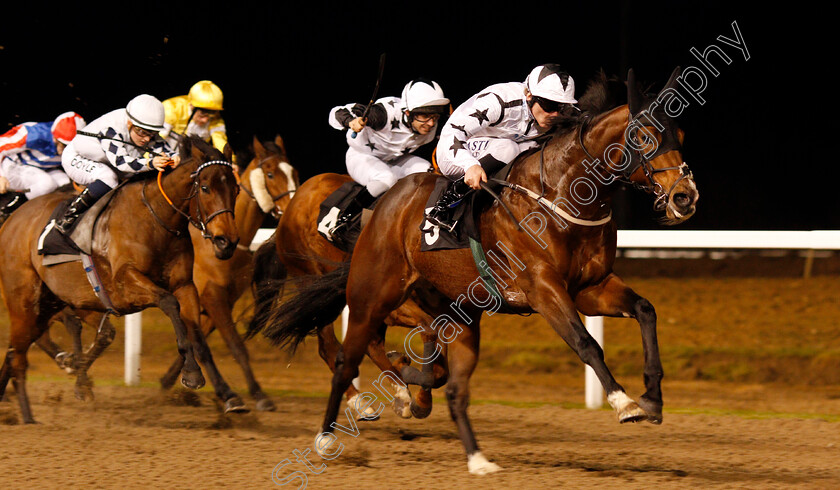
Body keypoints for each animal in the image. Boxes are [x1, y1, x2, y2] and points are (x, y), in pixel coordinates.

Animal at [256, 67, 704, 472]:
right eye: (643, 137)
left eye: (680, 137)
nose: (685, 197)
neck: (563, 194)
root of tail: (385, 207)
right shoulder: (544, 289)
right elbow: (586, 343)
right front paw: (624, 402)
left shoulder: (591, 288)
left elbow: (645, 310)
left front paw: (652, 397)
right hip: (372, 297)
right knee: (343, 360)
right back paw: (330, 436)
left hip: (453, 312)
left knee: (441, 379)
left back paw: (465, 447)